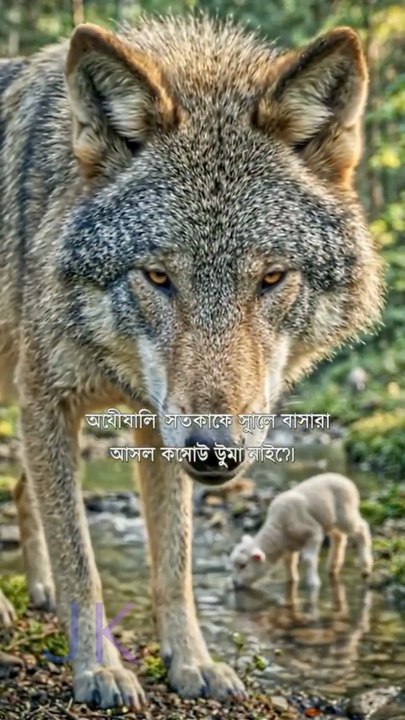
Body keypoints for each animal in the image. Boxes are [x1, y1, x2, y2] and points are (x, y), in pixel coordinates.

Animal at [0, 14, 384, 710]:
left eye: (271, 278)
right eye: (158, 276)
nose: (214, 452)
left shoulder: (155, 425)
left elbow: (173, 565)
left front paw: (192, 663)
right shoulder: (49, 401)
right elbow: (83, 565)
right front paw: (99, 670)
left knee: (18, 489)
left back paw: (35, 591)